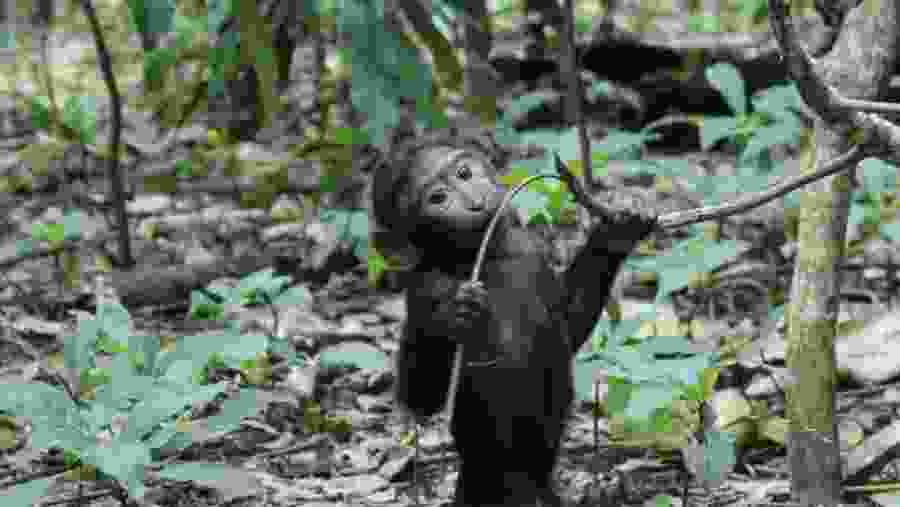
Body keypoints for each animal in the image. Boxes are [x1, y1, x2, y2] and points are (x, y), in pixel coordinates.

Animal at [372, 132, 656, 506]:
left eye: (463, 172)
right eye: (438, 198)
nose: (471, 199)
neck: (486, 255)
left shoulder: (535, 256)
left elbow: (568, 324)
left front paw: (616, 231)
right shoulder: (423, 287)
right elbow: (422, 400)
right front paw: (456, 314)